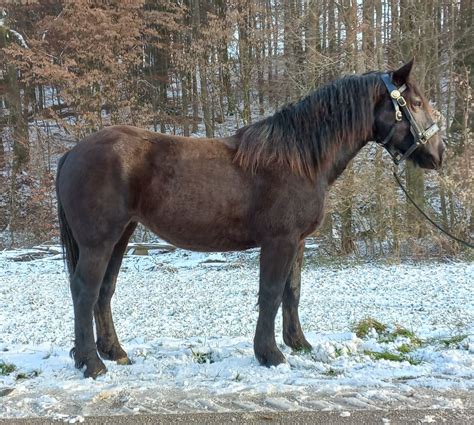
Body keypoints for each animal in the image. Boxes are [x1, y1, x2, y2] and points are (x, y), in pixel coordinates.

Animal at [55, 60, 444, 378]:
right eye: (416, 103)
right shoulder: (279, 241)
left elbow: (292, 292)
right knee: (85, 291)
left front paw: (299, 343)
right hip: (99, 242)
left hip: (121, 236)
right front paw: (270, 354)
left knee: (104, 291)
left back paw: (114, 352)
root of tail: (72, 152)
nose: (439, 153)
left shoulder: (297, 242)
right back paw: (92, 364)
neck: (299, 159)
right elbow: (270, 293)